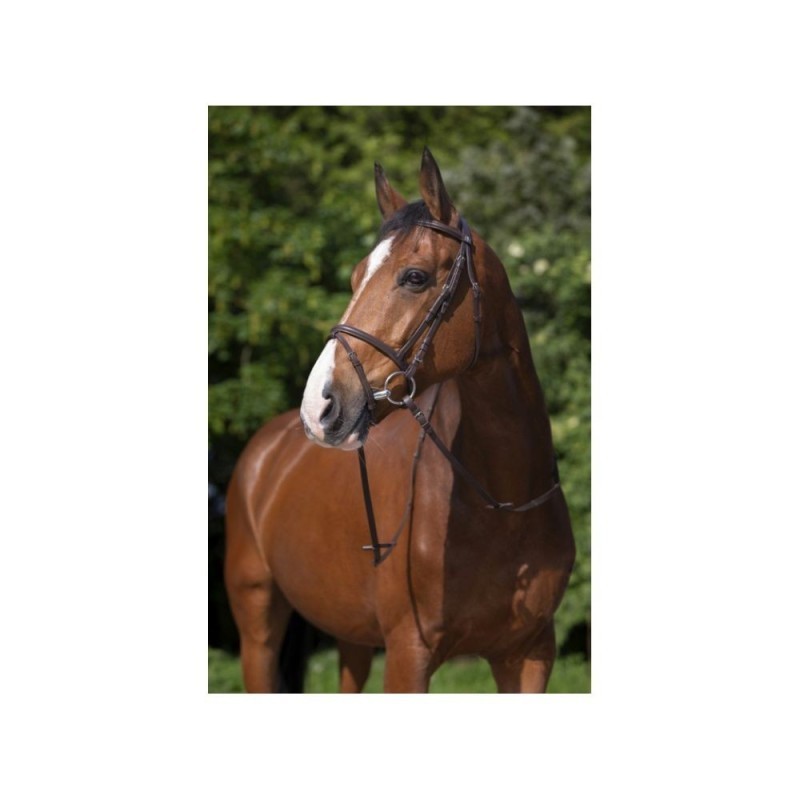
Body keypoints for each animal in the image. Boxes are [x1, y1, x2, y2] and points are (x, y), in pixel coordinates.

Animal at [224, 148, 576, 692]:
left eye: (414, 277)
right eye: (354, 278)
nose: (318, 407)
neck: (503, 504)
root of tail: (265, 450)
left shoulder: (530, 655)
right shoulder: (409, 654)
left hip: (350, 637)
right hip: (258, 627)